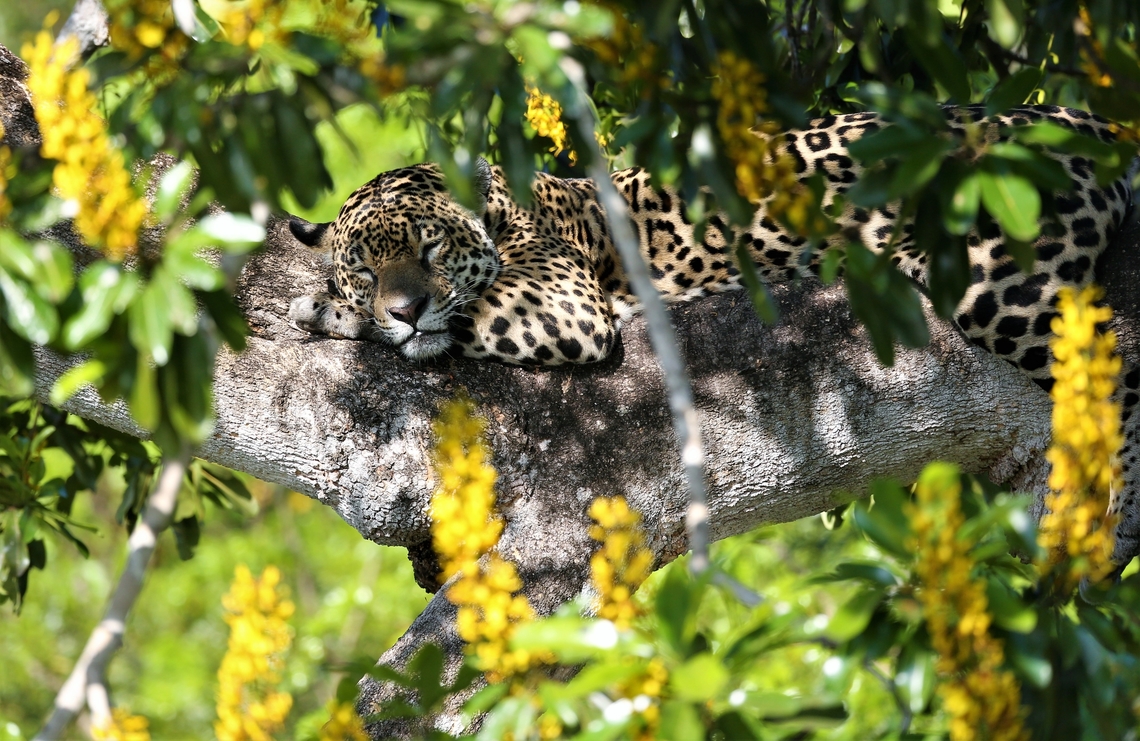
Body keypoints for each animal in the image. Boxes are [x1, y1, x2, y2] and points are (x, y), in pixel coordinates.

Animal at [287, 104, 1140, 571]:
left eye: (429, 248)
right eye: (366, 266)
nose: (402, 306)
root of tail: (1088, 119)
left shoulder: (562, 302)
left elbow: (469, 307)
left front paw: (326, 310)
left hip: (1000, 273)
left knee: (1114, 366)